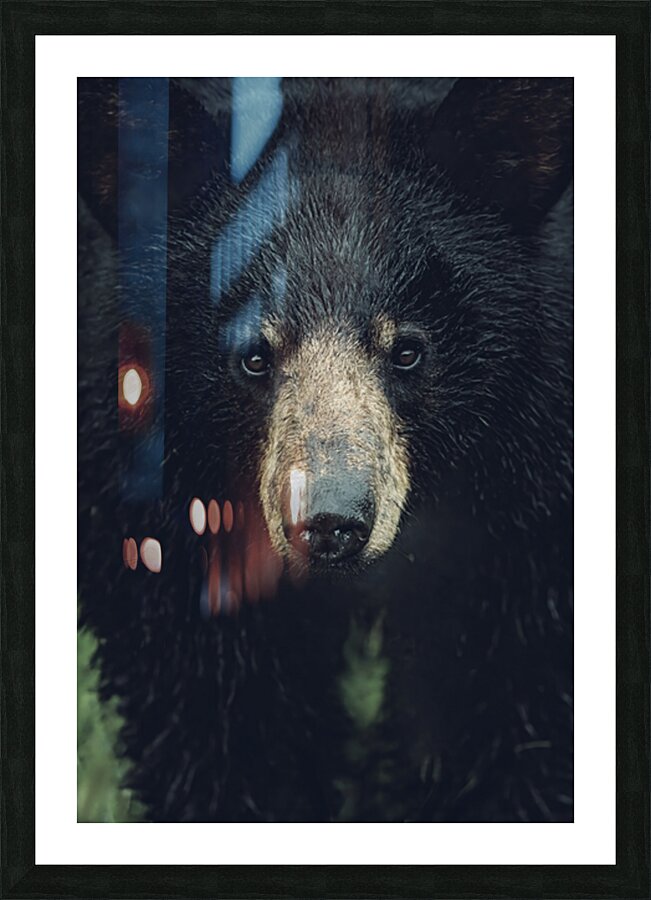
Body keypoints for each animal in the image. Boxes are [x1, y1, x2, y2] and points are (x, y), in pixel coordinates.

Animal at [77, 76, 574, 823]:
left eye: (407, 350)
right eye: (253, 356)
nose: (333, 523)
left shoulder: (529, 489)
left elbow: (502, 696)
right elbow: (209, 704)